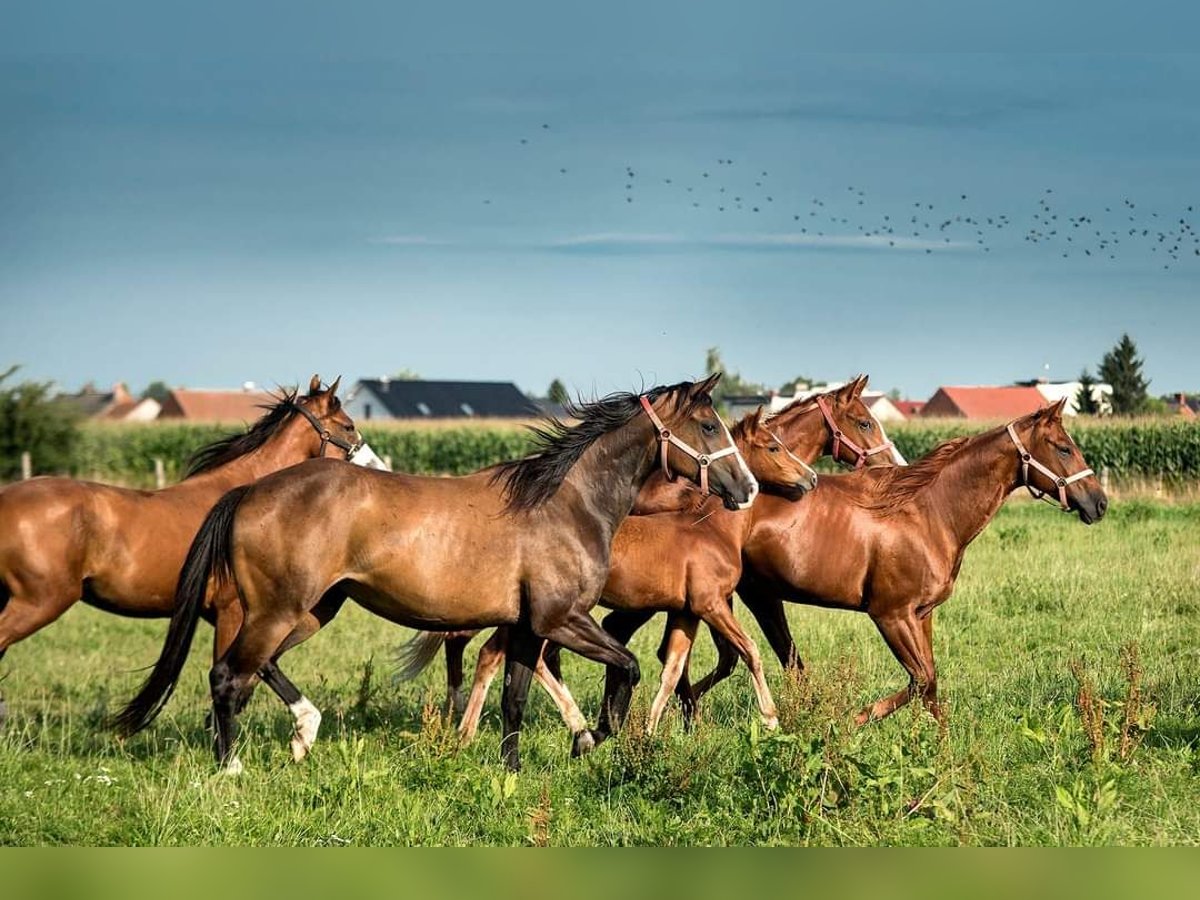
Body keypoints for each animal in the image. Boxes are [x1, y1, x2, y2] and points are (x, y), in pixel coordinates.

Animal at [117, 376, 758, 772]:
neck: (564, 502)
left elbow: (514, 699)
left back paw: (303, 734)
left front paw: (513, 770)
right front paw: (591, 739)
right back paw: (232, 769)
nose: (748, 488)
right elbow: (625, 669)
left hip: (311, 610)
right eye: (708, 426)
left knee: (257, 667)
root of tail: (248, 491)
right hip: (279, 610)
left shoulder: (527, 626)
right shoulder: (562, 619)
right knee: (228, 676)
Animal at [398, 374, 902, 739]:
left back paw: (472, 727)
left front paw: (662, 720)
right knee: (497, 650)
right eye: (864, 422)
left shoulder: (678, 606)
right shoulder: (728, 597)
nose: (893, 464)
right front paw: (726, 716)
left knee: (494, 651)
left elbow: (679, 661)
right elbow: (747, 654)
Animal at [681, 398, 1108, 729]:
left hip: (750, 598)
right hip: (744, 598)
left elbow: (931, 684)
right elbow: (921, 679)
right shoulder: (890, 615)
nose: (1099, 501)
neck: (929, 514)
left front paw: (944, 753)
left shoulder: (922, 615)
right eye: (1063, 448)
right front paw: (850, 721)